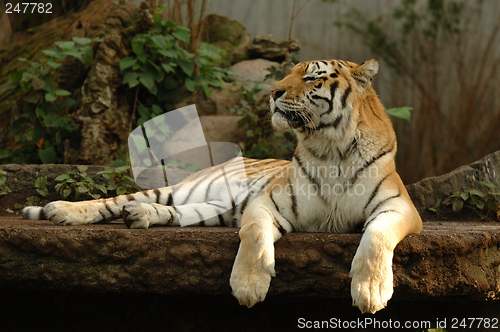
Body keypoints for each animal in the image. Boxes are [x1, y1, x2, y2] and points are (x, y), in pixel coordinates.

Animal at [22, 57, 422, 314]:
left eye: (311, 78)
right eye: (287, 74)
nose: (273, 93)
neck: (331, 148)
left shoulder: (398, 206)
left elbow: (377, 238)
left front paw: (370, 291)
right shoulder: (268, 202)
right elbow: (254, 236)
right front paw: (248, 286)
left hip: (208, 208)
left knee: (172, 212)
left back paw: (139, 216)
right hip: (178, 190)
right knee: (111, 200)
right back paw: (62, 210)